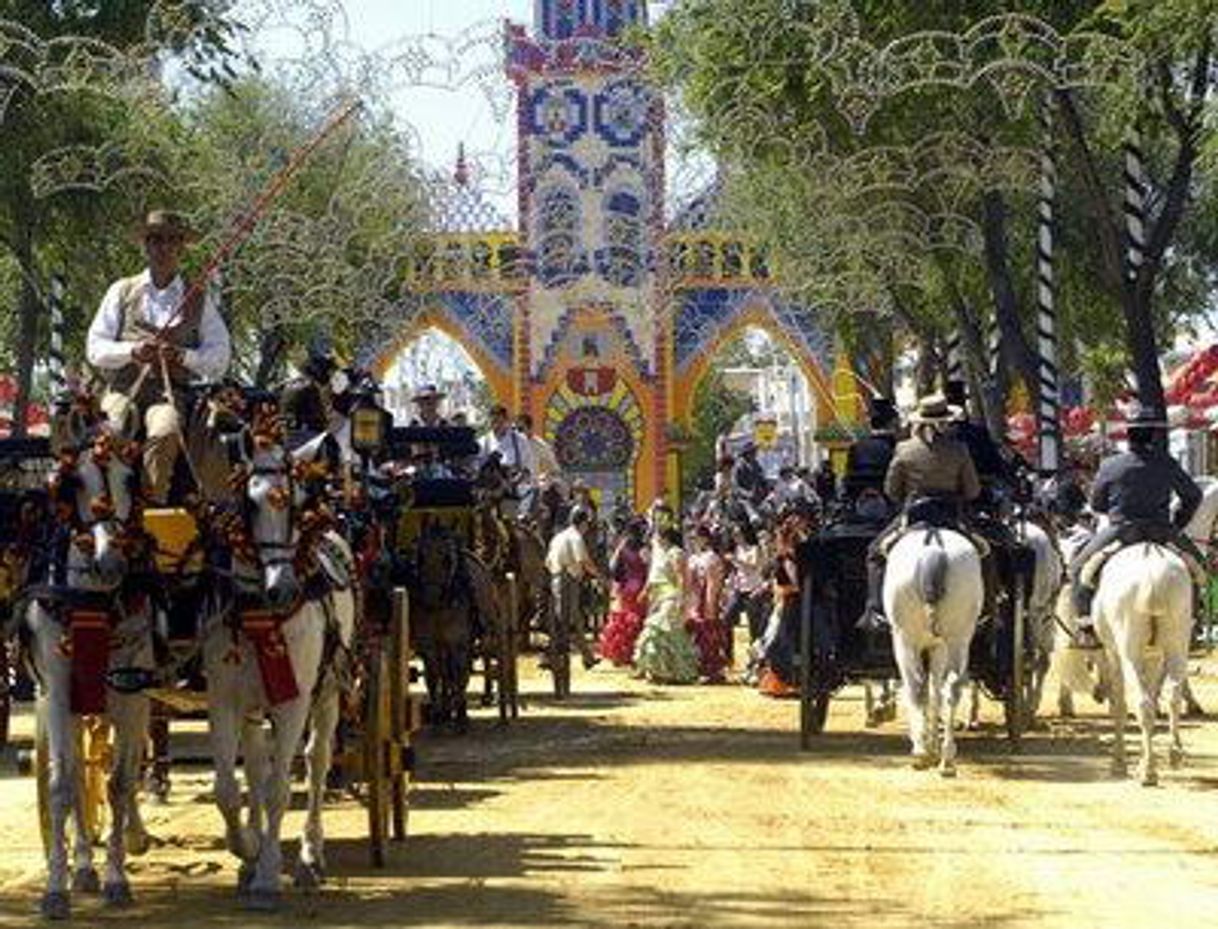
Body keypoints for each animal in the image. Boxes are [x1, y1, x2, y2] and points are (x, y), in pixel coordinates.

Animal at [25, 433, 153, 920]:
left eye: (131, 479)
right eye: (74, 481)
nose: (109, 559)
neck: (92, 600)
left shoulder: (131, 693)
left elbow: (118, 783)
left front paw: (118, 877)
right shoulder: (59, 694)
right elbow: (63, 786)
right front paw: (56, 888)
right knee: (79, 775)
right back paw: (81, 867)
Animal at [202, 423, 331, 910]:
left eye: (295, 505)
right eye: (249, 503)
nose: (282, 588)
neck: (262, 612)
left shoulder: (294, 701)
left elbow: (279, 790)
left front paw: (269, 876)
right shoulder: (223, 698)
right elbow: (228, 788)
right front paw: (248, 850)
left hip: (329, 692)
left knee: (317, 760)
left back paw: (311, 853)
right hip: (254, 705)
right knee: (256, 765)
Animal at [886, 525, 989, 774]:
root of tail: (933, 544)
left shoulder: (908, 642)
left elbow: (923, 690)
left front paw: (924, 745)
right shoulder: (938, 646)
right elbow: (936, 691)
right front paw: (933, 743)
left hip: (905, 640)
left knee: (916, 686)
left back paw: (922, 752)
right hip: (958, 639)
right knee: (951, 687)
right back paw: (947, 757)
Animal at [1096, 540, 1188, 788]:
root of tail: (1151, 570)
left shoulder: (1113, 653)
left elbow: (1119, 704)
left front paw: (1119, 762)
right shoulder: (1153, 655)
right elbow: (1155, 696)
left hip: (1128, 648)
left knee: (1142, 703)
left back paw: (1148, 773)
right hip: (1177, 640)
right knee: (1173, 696)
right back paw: (1173, 754)